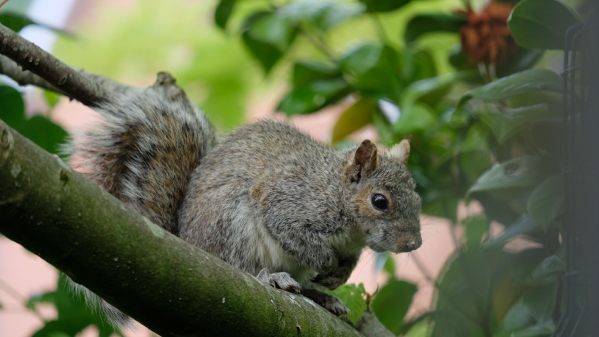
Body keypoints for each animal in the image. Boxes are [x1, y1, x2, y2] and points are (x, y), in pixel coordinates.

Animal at [68, 72, 422, 324]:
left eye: (418, 198)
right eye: (379, 201)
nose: (413, 244)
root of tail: (187, 243)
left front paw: (340, 276)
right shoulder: (291, 202)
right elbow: (295, 234)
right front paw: (325, 262)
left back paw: (321, 296)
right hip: (233, 226)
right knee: (243, 268)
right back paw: (272, 277)